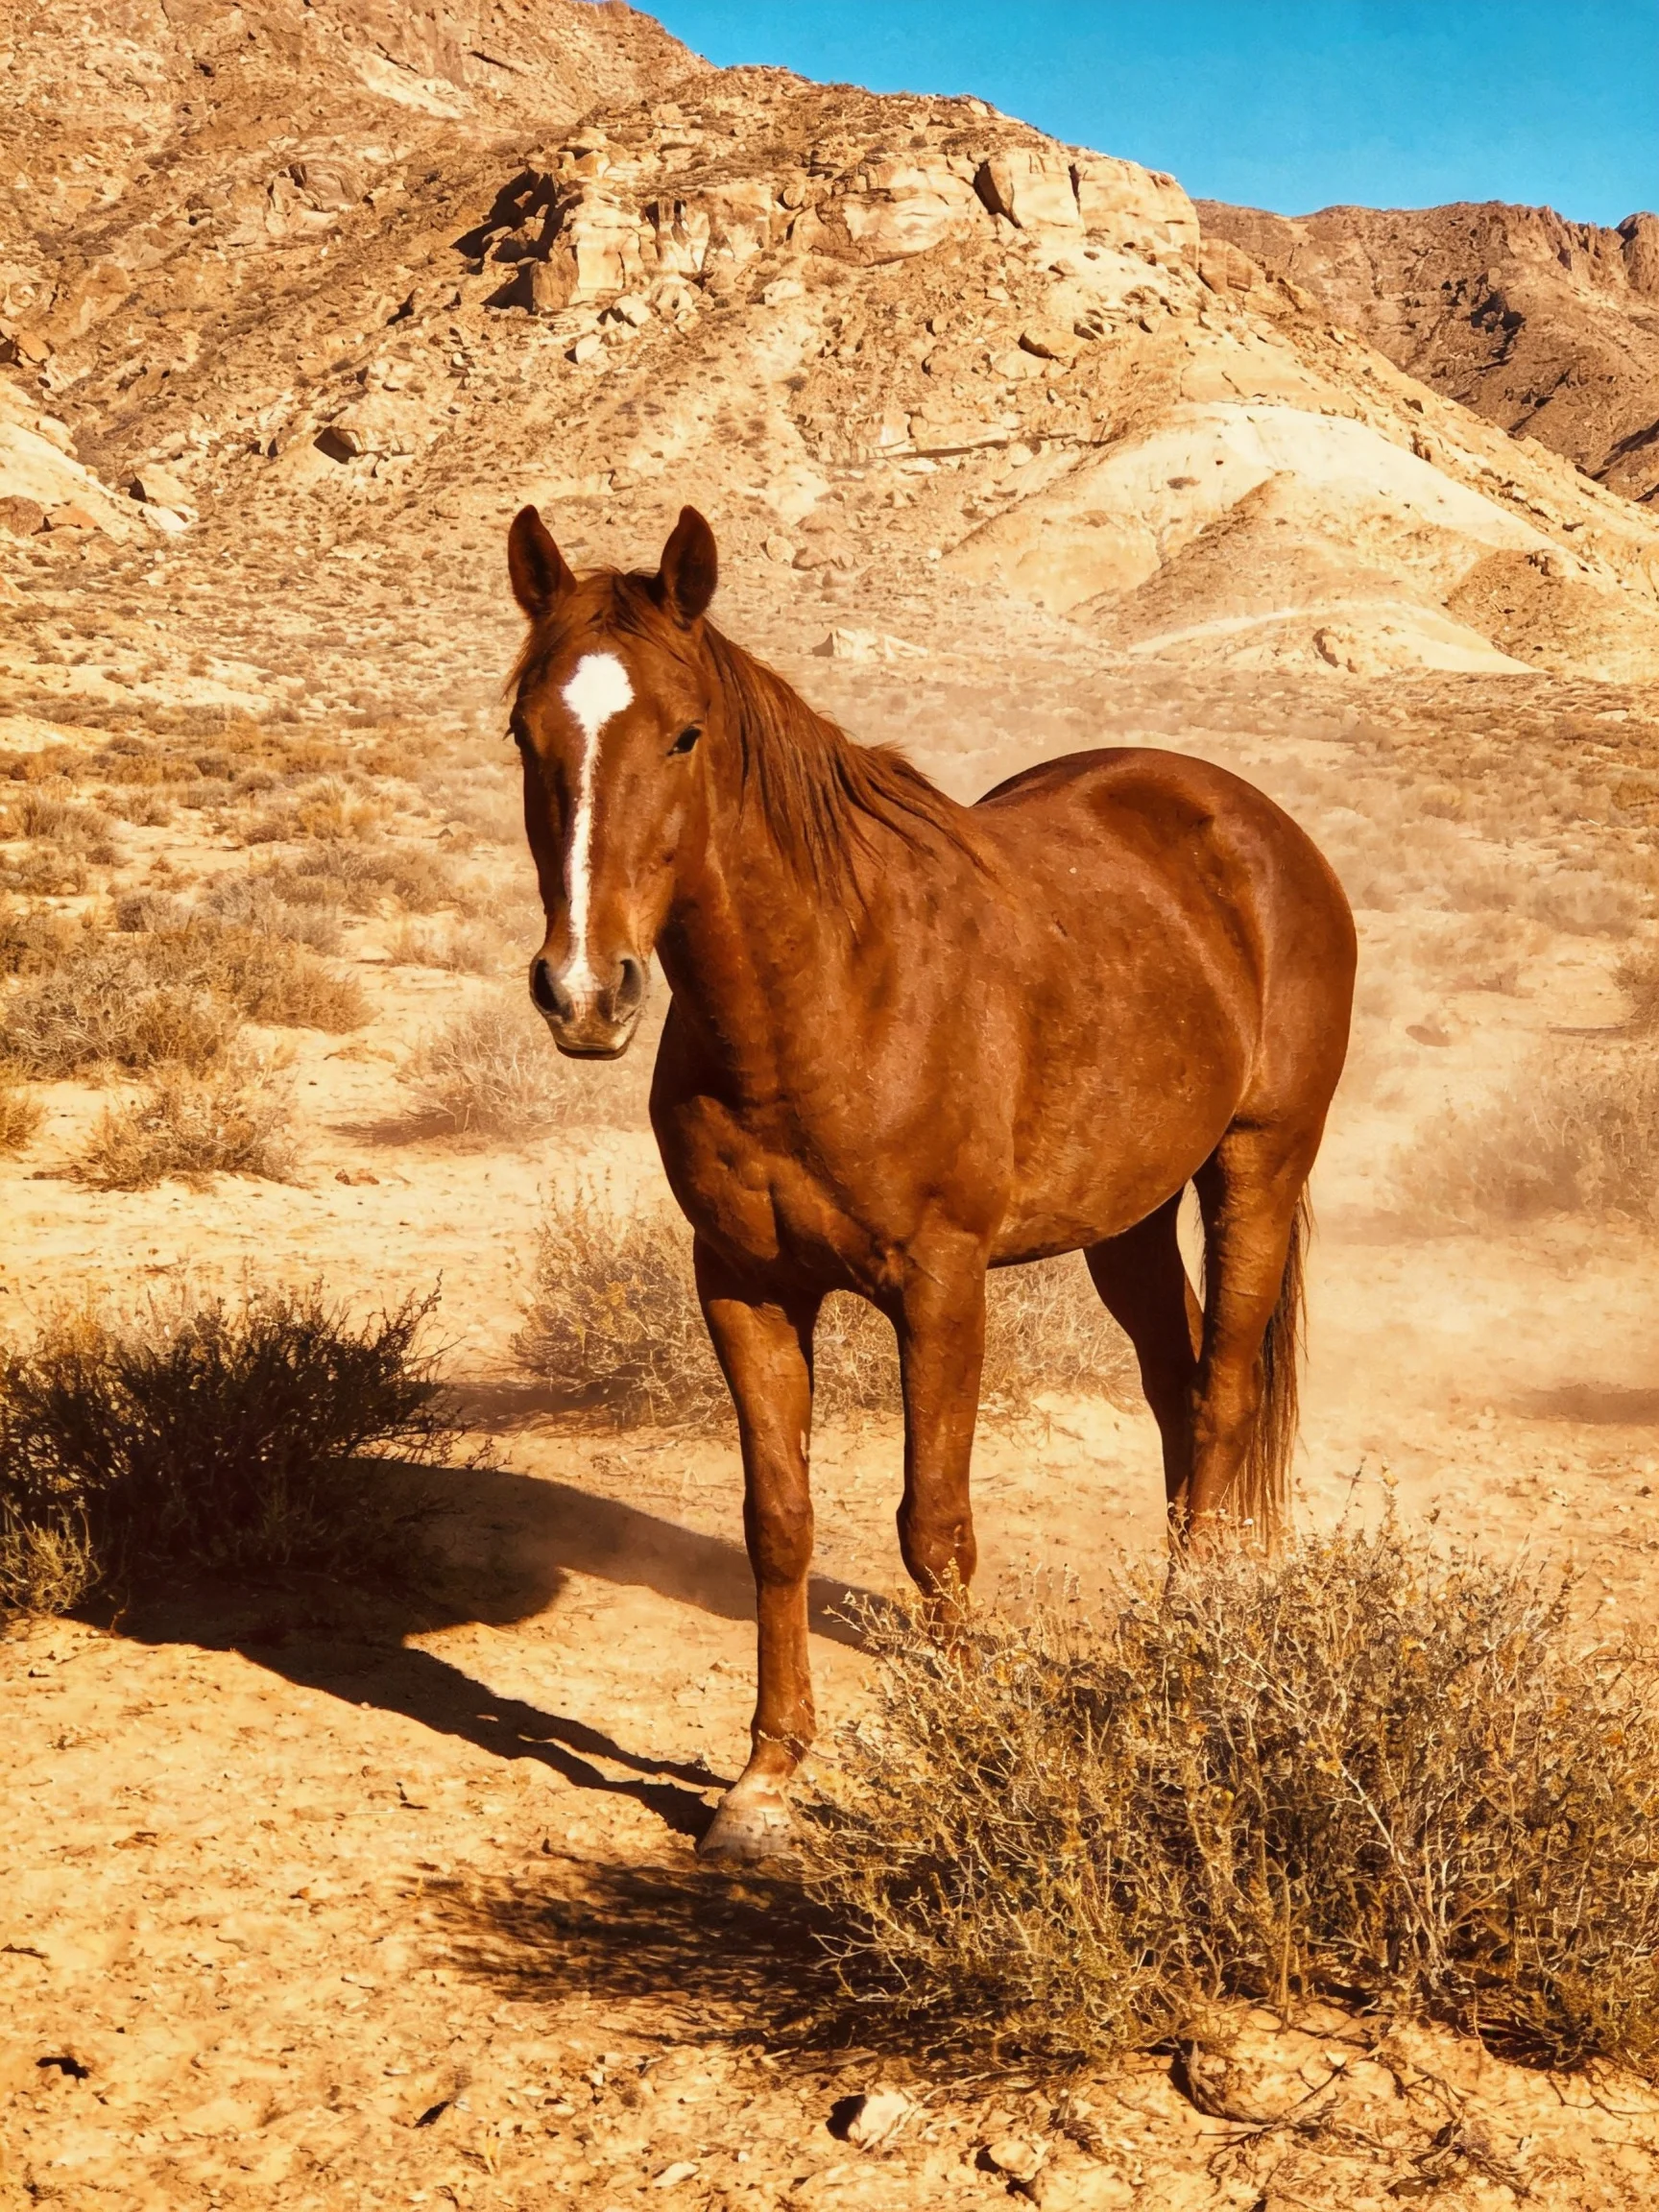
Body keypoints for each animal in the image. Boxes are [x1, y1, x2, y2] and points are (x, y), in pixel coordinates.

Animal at [506, 502, 1357, 1863]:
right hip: (1123, 1223)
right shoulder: (742, 1286)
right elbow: (780, 1520)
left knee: (1224, 1395)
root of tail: (1251, 822)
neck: (825, 993)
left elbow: (933, 1525)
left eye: (684, 733)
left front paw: (972, 1743)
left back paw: (1191, 1645)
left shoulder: (943, 1288)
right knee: (1175, 1394)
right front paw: (766, 1780)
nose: (587, 993)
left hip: (1259, 1168)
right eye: (527, 732)